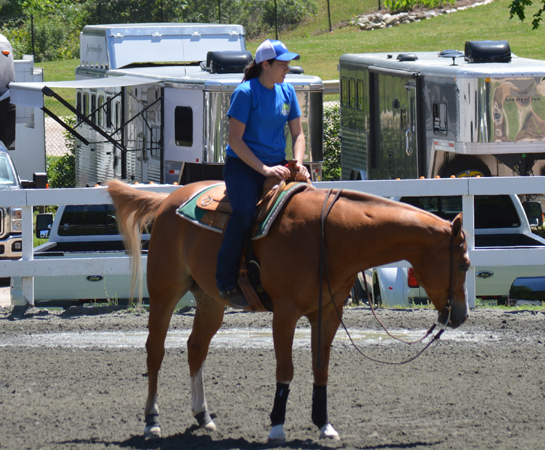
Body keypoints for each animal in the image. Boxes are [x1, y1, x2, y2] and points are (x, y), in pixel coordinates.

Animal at [108, 179, 470, 442]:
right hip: (165, 292)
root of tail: (168, 201)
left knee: (196, 348)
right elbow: (286, 369)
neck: (328, 237)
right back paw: (152, 420)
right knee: (155, 350)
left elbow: (320, 368)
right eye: (464, 263)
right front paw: (277, 427)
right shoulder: (285, 313)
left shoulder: (328, 313)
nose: (461, 315)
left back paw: (203, 416)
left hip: (210, 301)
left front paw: (324, 424)